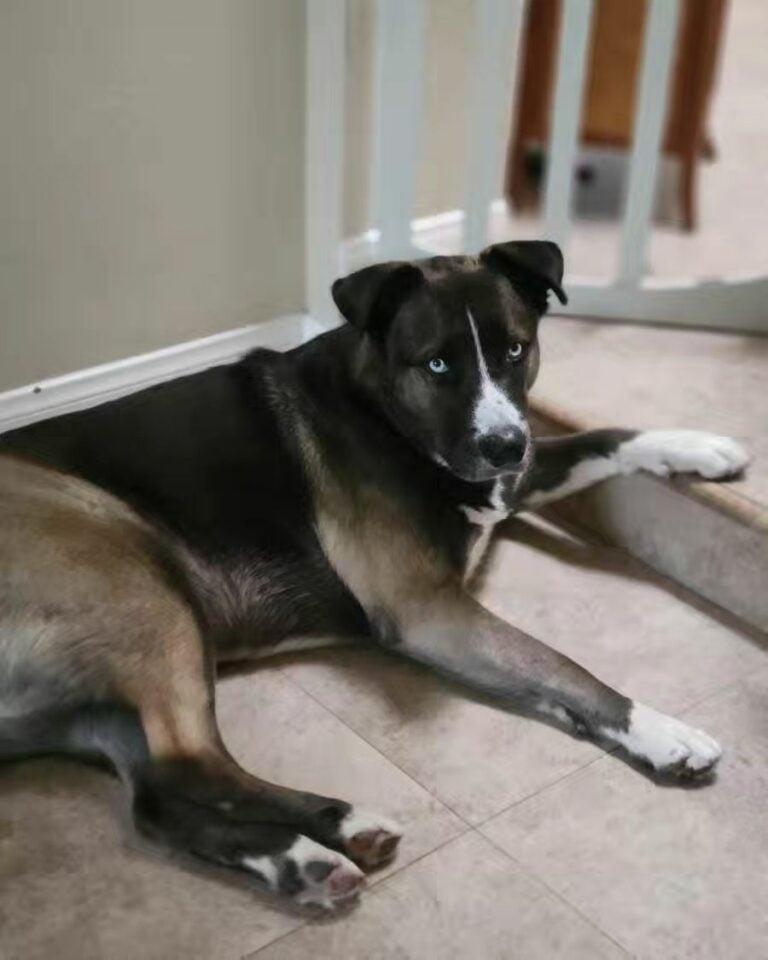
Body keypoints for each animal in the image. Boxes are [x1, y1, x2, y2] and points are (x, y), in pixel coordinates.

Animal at [0, 242, 748, 908]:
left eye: (515, 350)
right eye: (438, 363)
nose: (504, 444)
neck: (386, 413)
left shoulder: (511, 478)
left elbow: (600, 438)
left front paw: (698, 446)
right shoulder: (428, 612)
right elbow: (562, 665)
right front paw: (657, 728)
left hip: (102, 696)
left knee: (158, 802)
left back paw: (297, 862)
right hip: (142, 582)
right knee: (189, 768)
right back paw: (339, 825)